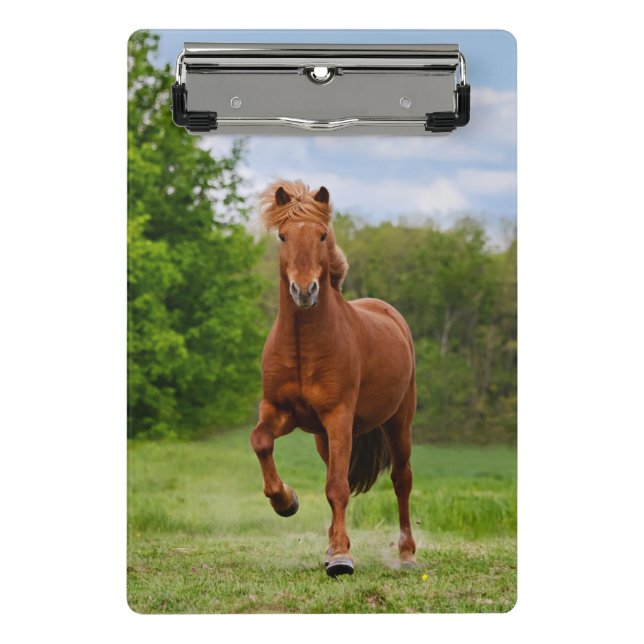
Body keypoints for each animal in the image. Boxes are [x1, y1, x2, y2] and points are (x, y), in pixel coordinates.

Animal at [250, 180, 417, 577]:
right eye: (282, 236)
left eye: (322, 235)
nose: (304, 291)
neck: (302, 346)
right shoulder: (279, 411)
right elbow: (260, 441)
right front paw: (286, 501)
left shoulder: (339, 417)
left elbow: (338, 487)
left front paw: (341, 558)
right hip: (323, 439)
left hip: (398, 423)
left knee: (401, 480)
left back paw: (406, 554)